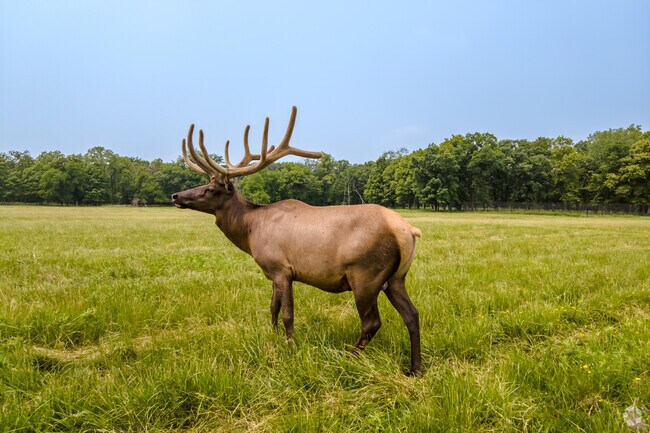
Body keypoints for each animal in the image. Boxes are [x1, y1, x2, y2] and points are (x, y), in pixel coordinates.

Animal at [171, 106, 423, 375]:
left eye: (210, 189)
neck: (250, 231)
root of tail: (408, 230)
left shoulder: (282, 268)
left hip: (365, 274)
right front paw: (272, 336)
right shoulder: (272, 272)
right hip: (396, 278)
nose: (176, 195)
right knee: (412, 314)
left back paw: (347, 355)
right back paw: (415, 368)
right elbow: (272, 308)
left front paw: (291, 348)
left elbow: (287, 314)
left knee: (372, 322)